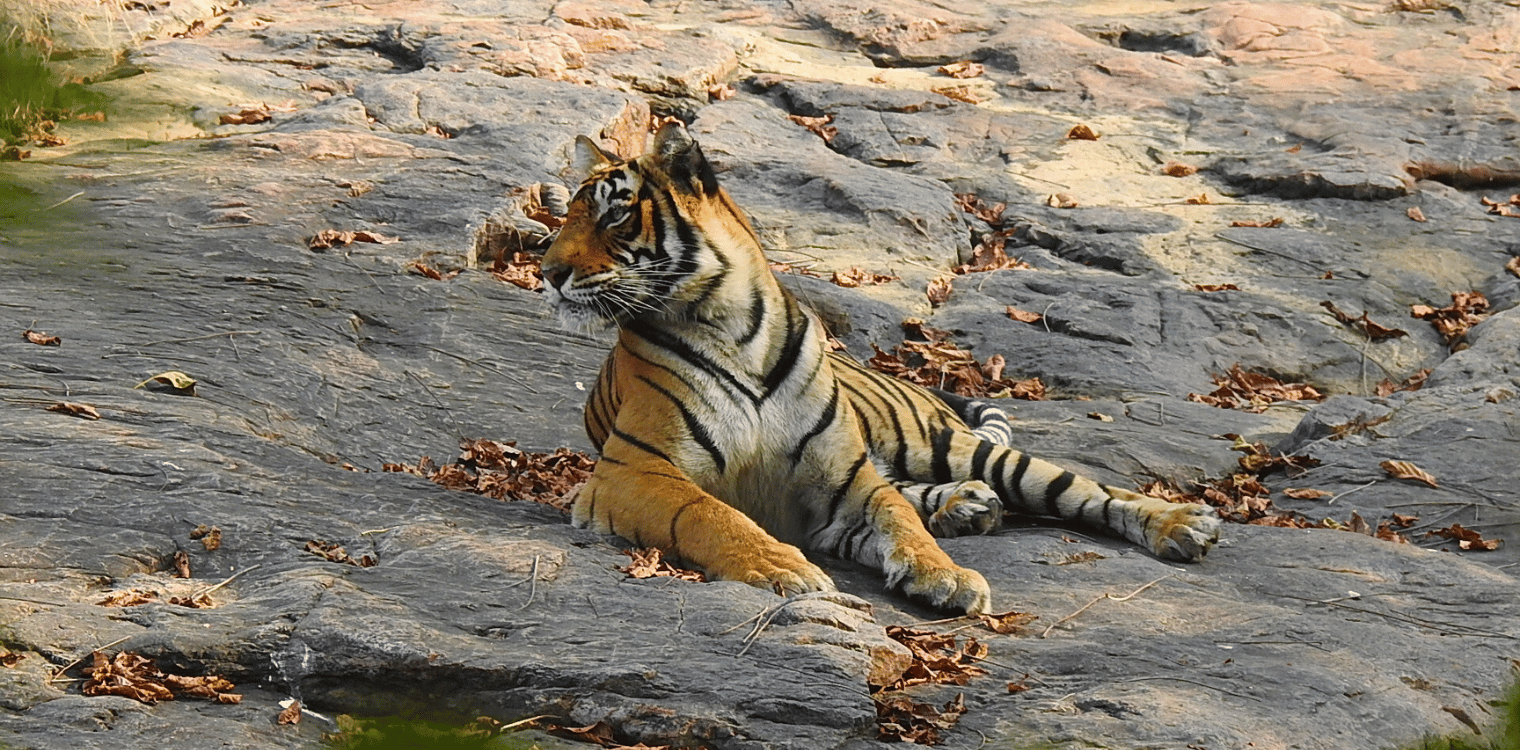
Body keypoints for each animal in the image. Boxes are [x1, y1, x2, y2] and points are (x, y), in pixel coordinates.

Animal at [541, 121, 1216, 614]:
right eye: (567, 214)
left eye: (614, 213)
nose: (547, 272)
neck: (728, 323)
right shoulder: (633, 470)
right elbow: (711, 514)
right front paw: (784, 567)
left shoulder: (846, 478)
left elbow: (898, 520)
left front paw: (947, 576)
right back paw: (968, 506)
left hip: (955, 446)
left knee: (1084, 488)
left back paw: (1181, 523)